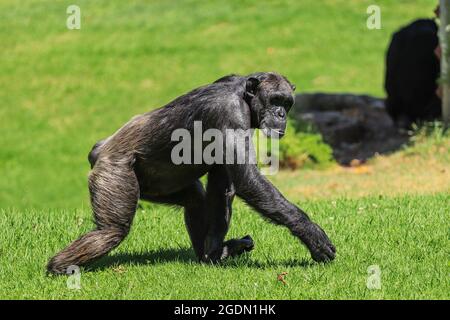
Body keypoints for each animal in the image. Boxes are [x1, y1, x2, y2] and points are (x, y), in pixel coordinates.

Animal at [47, 72, 336, 276]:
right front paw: (313, 235)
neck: (245, 98)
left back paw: (207, 255)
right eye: (275, 99)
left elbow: (223, 183)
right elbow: (248, 179)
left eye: (287, 103)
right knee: (111, 230)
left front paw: (217, 252)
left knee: (195, 198)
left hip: (152, 185)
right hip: (114, 172)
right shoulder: (229, 115)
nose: (280, 113)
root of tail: (100, 150)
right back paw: (59, 268)